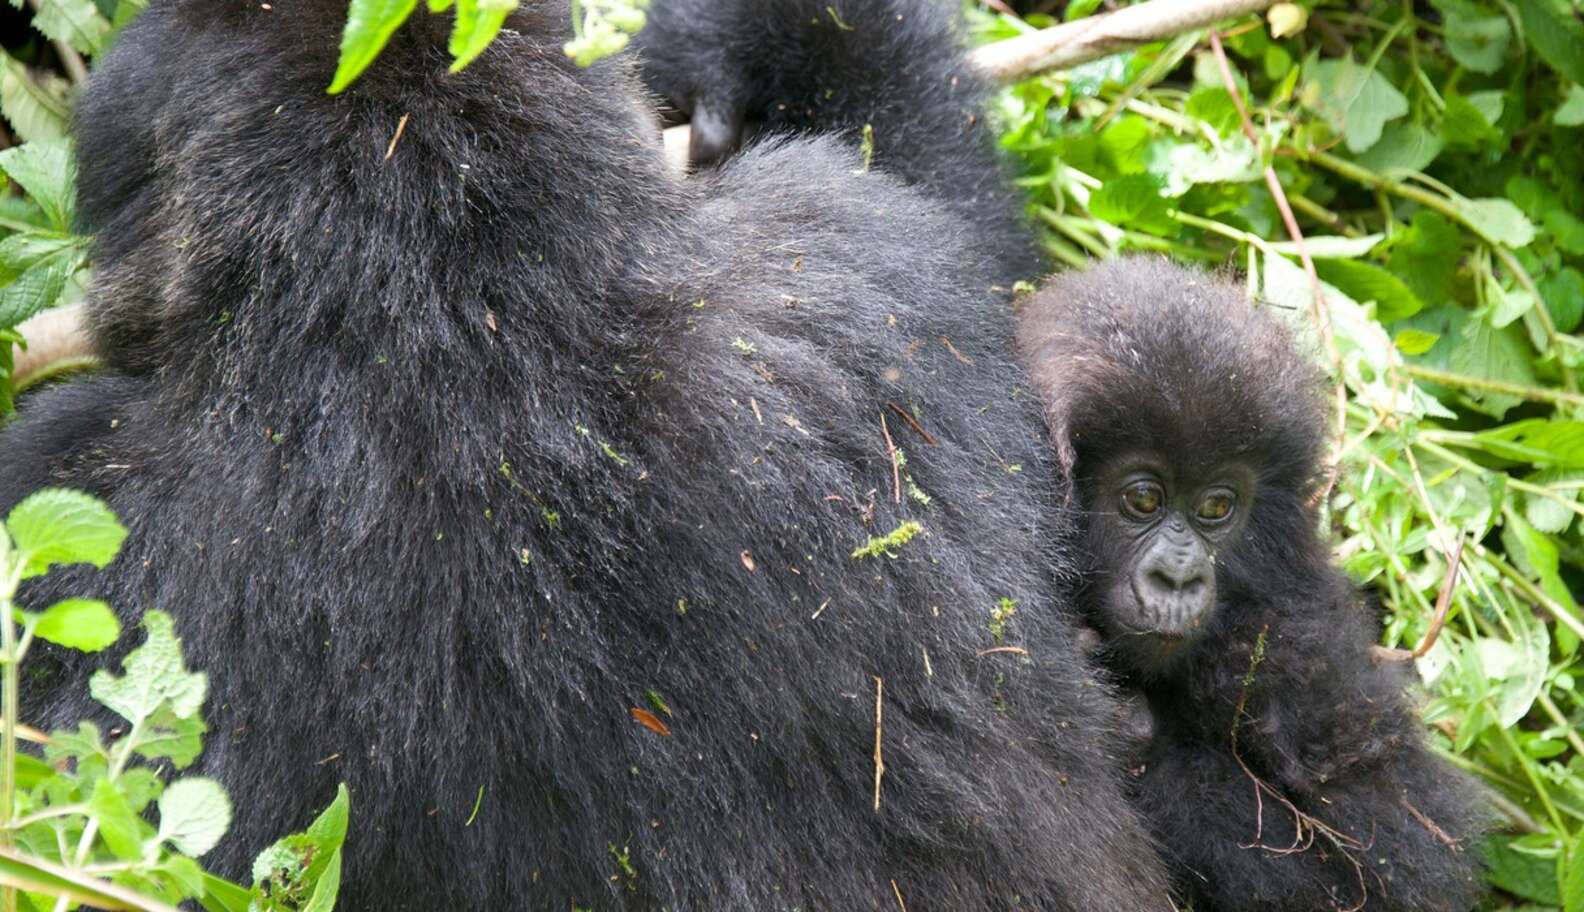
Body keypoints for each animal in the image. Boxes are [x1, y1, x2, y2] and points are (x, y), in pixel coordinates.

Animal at [1013, 258, 1482, 912]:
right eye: (1143, 498)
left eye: (1216, 506)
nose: (1178, 576)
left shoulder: (1294, 631)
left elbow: (1387, 859)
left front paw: (1126, 728)